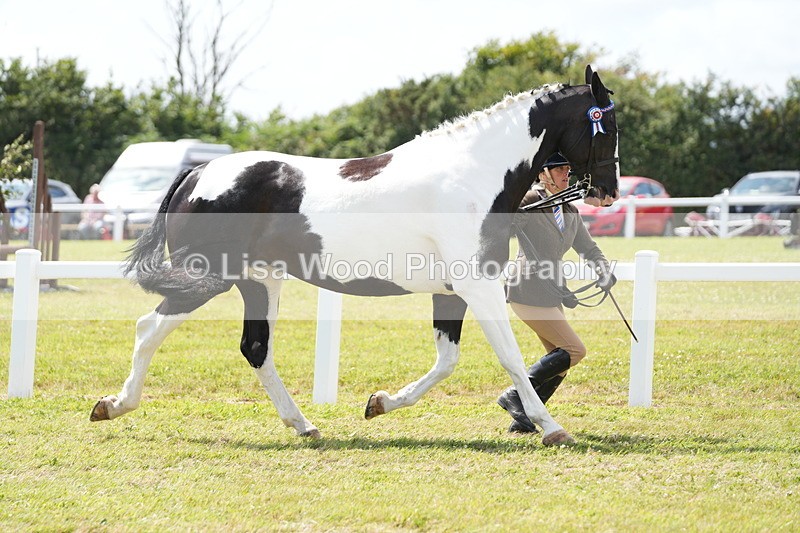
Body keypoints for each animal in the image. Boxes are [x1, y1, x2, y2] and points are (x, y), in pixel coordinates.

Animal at [90, 66, 620, 446]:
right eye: (607, 125)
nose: (608, 192)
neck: (470, 177)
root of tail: (198, 173)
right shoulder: (479, 286)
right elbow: (509, 356)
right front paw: (552, 428)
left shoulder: (453, 291)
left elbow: (447, 361)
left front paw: (379, 402)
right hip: (209, 277)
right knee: (150, 327)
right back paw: (113, 406)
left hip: (259, 281)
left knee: (256, 349)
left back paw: (303, 425)